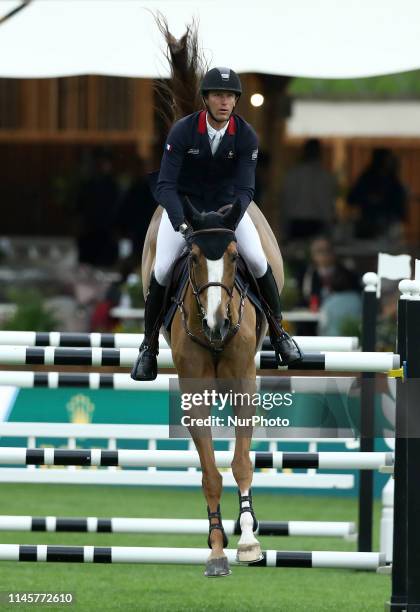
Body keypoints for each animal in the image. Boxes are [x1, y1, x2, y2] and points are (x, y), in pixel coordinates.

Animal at [143, 198, 284, 576]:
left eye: (234, 257)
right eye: (193, 258)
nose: (216, 323)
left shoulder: (245, 387)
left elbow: (241, 464)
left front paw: (248, 541)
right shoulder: (194, 396)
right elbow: (210, 474)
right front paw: (217, 550)